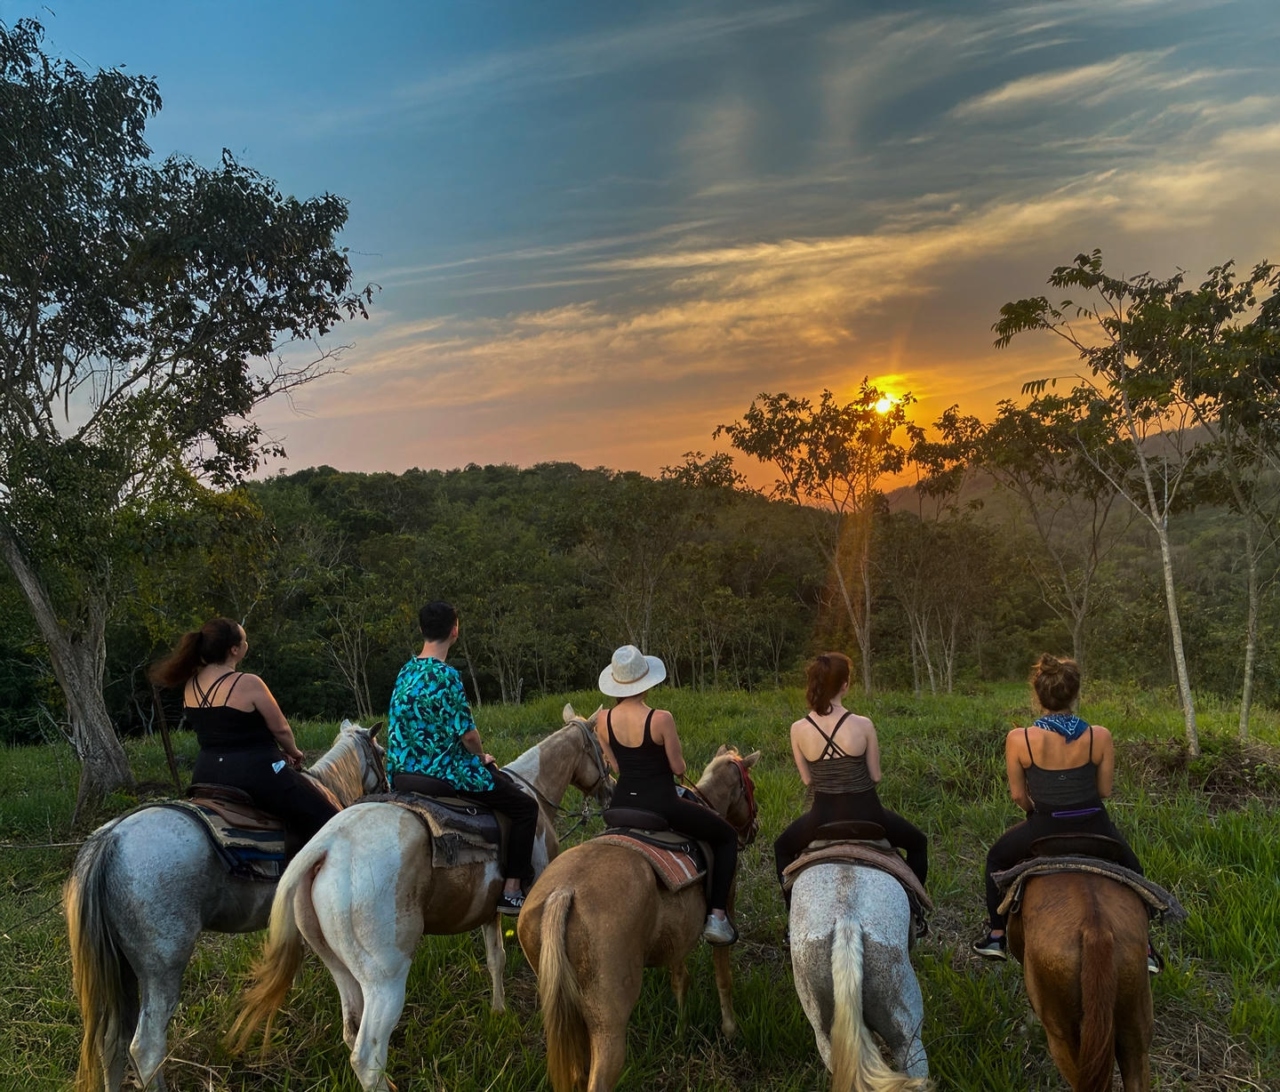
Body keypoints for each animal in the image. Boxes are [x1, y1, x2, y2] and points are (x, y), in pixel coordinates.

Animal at [63, 719, 387, 1092]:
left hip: (123, 967)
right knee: (145, 1048)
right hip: (162, 966)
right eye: (381, 752)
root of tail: (111, 839)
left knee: (111, 1042)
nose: (388, 785)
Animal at [229, 704, 611, 1092]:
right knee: (367, 1057)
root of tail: (325, 847)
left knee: (351, 1032)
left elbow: (496, 960)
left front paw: (498, 1011)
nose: (610, 791)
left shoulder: (489, 912)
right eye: (601, 747)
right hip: (386, 980)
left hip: (339, 967)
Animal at [516, 745, 761, 1092]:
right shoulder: (725, 906)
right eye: (750, 786)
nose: (754, 828)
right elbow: (722, 978)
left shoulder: (677, 932)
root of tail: (562, 894)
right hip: (608, 1026)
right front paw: (730, 1030)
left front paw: (681, 1029)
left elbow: (679, 977)